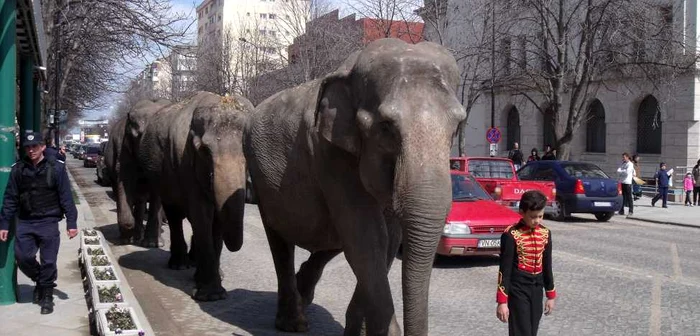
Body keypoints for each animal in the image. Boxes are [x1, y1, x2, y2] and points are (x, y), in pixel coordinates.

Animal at [106, 98, 172, 245]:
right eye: (137, 135)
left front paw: (151, 243)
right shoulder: (124, 148)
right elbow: (124, 181)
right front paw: (127, 238)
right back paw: (133, 237)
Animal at [135, 90, 253, 300]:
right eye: (204, 151)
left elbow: (216, 220)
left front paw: (213, 282)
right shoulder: (185, 164)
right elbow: (202, 215)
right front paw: (211, 295)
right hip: (164, 178)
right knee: (174, 214)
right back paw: (179, 264)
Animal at [243, 38, 468, 334]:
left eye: (458, 125)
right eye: (386, 127)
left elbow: (385, 241)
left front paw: (359, 331)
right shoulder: (329, 153)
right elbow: (366, 238)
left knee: (330, 239)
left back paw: (304, 292)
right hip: (261, 179)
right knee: (280, 240)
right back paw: (293, 322)